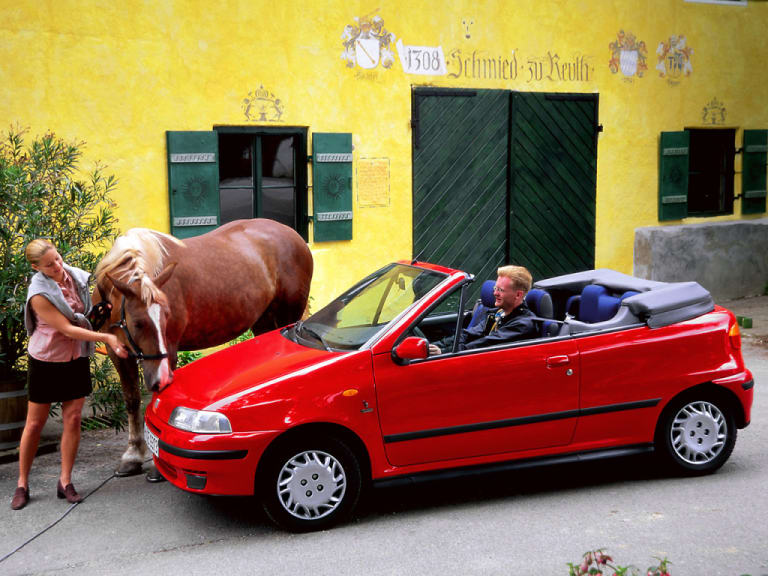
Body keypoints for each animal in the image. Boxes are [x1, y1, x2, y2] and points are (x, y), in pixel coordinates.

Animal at [93, 219, 313, 476]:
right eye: (138, 323)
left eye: (167, 316)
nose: (160, 377)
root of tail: (293, 235)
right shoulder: (118, 353)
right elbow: (132, 399)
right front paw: (133, 454)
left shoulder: (169, 352)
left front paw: (157, 463)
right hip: (263, 323)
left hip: (288, 313)